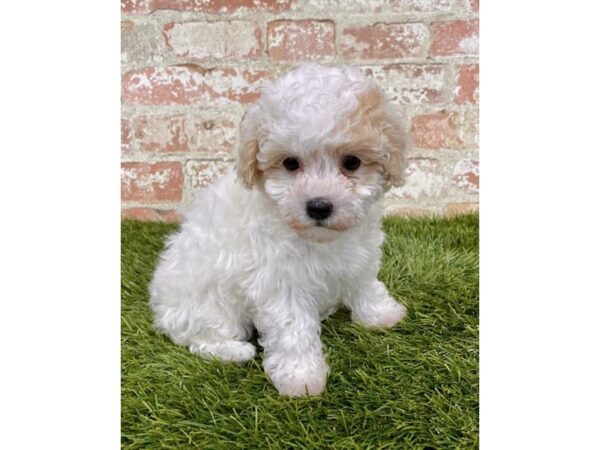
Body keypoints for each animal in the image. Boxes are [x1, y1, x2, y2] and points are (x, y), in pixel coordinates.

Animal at [152, 64, 410, 398]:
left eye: (352, 162)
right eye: (290, 163)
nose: (319, 206)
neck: (320, 238)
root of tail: (160, 309)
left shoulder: (360, 252)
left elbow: (364, 283)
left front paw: (380, 314)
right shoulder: (279, 280)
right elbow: (292, 329)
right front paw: (301, 378)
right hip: (208, 306)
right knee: (200, 339)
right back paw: (235, 351)